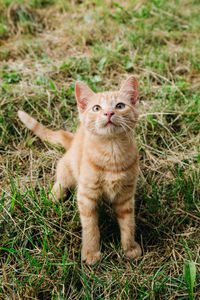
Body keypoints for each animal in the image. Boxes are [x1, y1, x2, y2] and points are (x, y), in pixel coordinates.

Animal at [18, 75, 141, 264]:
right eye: (96, 108)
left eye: (120, 106)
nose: (108, 113)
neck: (112, 152)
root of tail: (74, 139)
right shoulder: (86, 195)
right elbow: (90, 227)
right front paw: (91, 252)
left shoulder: (126, 196)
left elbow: (128, 223)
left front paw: (129, 248)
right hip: (67, 169)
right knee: (61, 178)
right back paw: (54, 195)